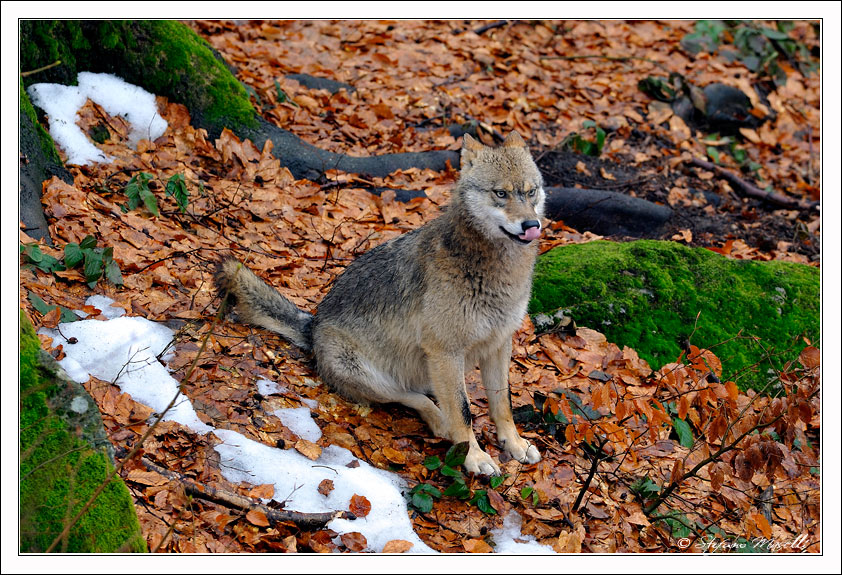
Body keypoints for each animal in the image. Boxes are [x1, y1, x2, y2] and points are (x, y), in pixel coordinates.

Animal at [215, 132, 544, 476]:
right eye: (500, 193)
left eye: (530, 191)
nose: (531, 224)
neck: (495, 270)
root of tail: (313, 324)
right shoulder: (445, 351)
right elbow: (464, 411)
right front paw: (474, 456)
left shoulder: (499, 344)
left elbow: (503, 402)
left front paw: (515, 444)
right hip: (371, 375)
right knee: (414, 399)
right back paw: (443, 425)